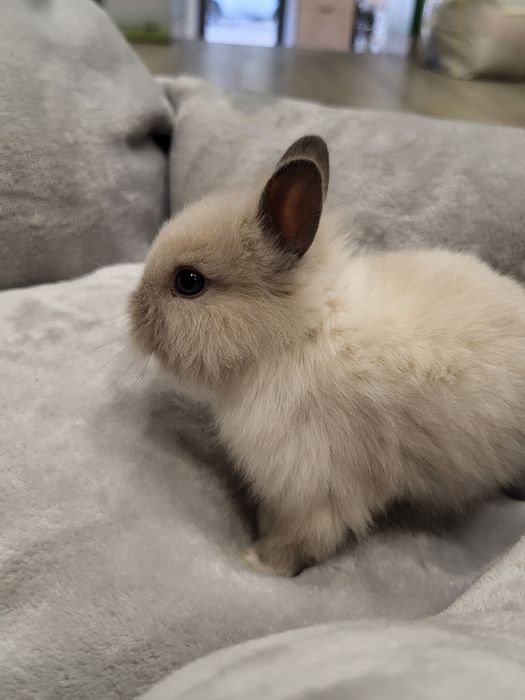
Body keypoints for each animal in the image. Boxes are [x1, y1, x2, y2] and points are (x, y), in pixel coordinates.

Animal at [129, 135, 525, 577]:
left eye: (189, 282)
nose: (133, 313)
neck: (299, 334)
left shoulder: (316, 485)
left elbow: (304, 538)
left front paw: (258, 561)